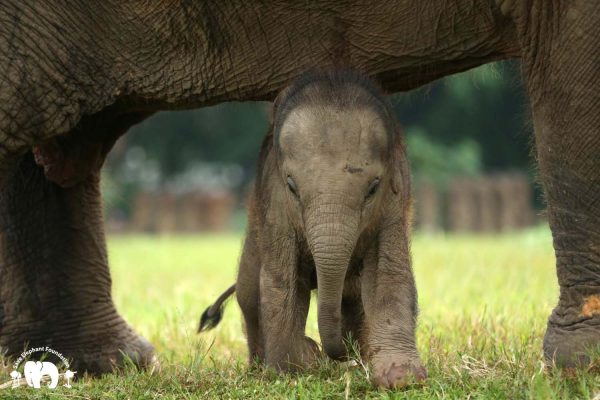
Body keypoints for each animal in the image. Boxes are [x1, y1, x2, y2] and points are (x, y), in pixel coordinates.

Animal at [202, 69, 426, 388]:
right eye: (292, 186)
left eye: (373, 188)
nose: (340, 354)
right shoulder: (275, 206)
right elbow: (283, 280)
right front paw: (296, 367)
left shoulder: (395, 201)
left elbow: (388, 275)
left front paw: (401, 379)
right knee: (249, 295)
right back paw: (261, 367)